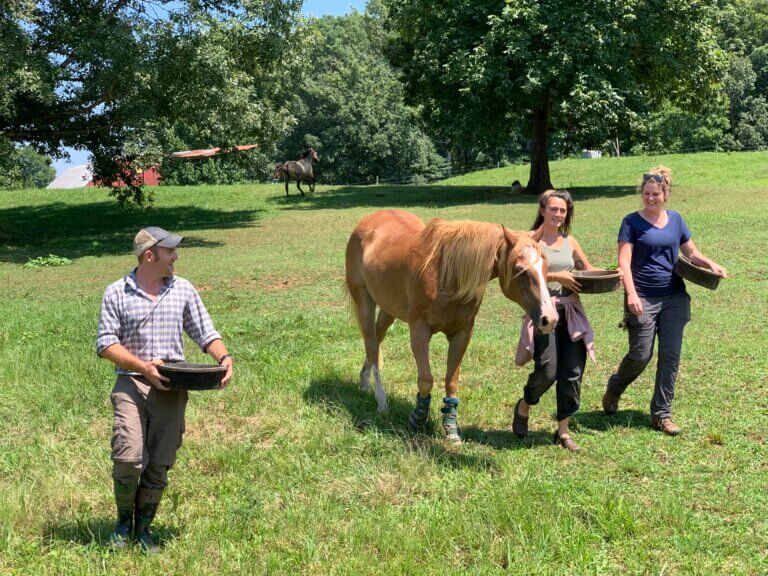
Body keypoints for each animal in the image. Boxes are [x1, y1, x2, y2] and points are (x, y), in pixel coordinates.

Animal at [344, 209, 556, 444]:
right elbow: (425, 380)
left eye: (546, 266)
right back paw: (381, 402)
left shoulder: (462, 333)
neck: (446, 275)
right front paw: (417, 419)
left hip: (388, 308)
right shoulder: (419, 331)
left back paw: (364, 383)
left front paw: (451, 428)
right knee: (372, 345)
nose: (549, 319)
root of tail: (367, 221)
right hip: (364, 300)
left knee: (375, 341)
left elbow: (452, 381)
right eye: (520, 269)